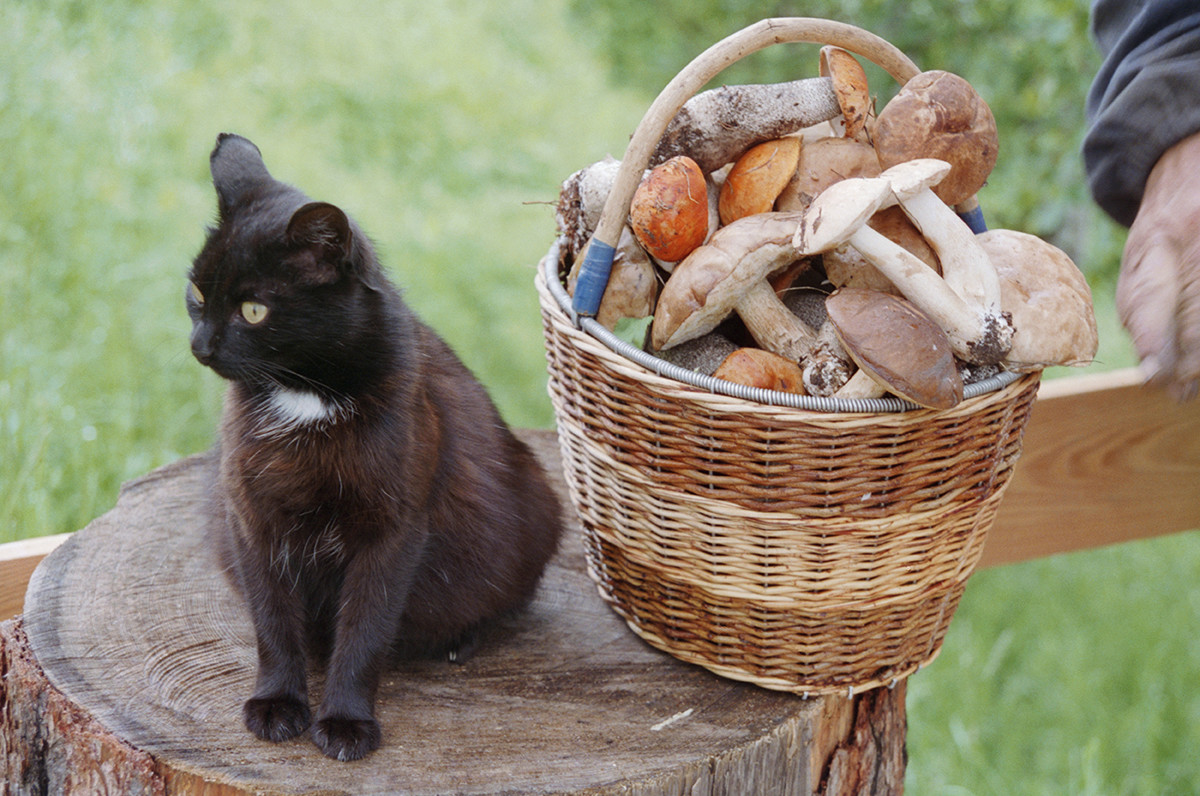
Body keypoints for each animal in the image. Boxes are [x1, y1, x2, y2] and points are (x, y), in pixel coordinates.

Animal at [184, 133, 564, 763]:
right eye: (195, 292)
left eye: (254, 310)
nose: (201, 345)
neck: (307, 396)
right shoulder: (250, 517)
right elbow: (272, 621)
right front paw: (276, 703)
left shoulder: (394, 530)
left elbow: (364, 629)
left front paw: (345, 722)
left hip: (538, 506)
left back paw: (460, 638)